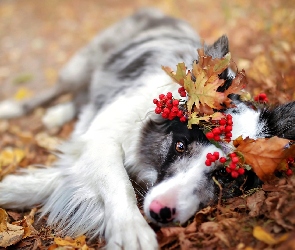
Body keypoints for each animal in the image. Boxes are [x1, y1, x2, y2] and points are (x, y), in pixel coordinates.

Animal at [0, 8, 295, 250]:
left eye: (226, 174)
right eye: (180, 145)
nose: (160, 210)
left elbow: (67, 175)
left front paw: (16, 187)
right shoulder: (103, 136)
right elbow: (117, 180)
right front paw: (131, 229)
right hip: (79, 68)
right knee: (56, 92)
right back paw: (24, 110)